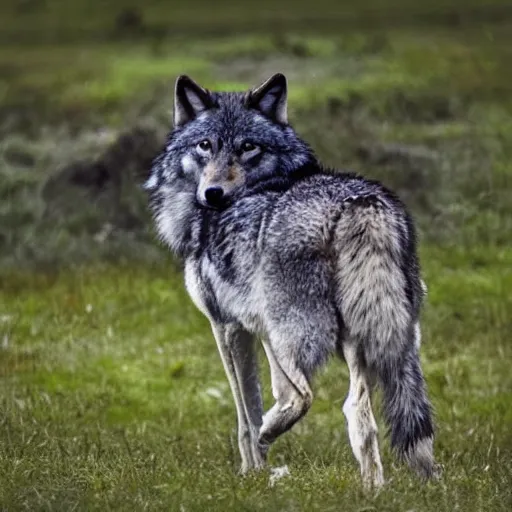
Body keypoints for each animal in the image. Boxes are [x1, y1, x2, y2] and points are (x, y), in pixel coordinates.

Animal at [145, 73, 440, 488]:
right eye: (205, 145)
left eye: (248, 147)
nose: (213, 194)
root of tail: (360, 204)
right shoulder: (259, 332)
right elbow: (267, 394)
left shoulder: (227, 326)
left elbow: (247, 410)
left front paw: (252, 472)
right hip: (381, 342)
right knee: (361, 414)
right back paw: (384, 488)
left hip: (296, 333)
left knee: (307, 398)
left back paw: (273, 434)